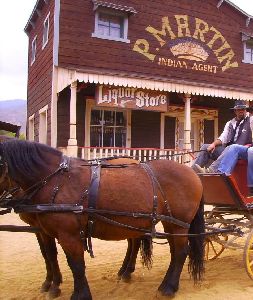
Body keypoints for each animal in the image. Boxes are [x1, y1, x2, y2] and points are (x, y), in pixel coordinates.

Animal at [0, 139, 205, 298]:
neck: (57, 181)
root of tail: (193, 173)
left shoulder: (68, 235)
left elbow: (75, 264)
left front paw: (78, 294)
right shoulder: (45, 231)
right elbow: (51, 256)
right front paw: (53, 285)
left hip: (178, 224)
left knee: (180, 252)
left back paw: (168, 287)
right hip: (168, 223)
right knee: (172, 251)